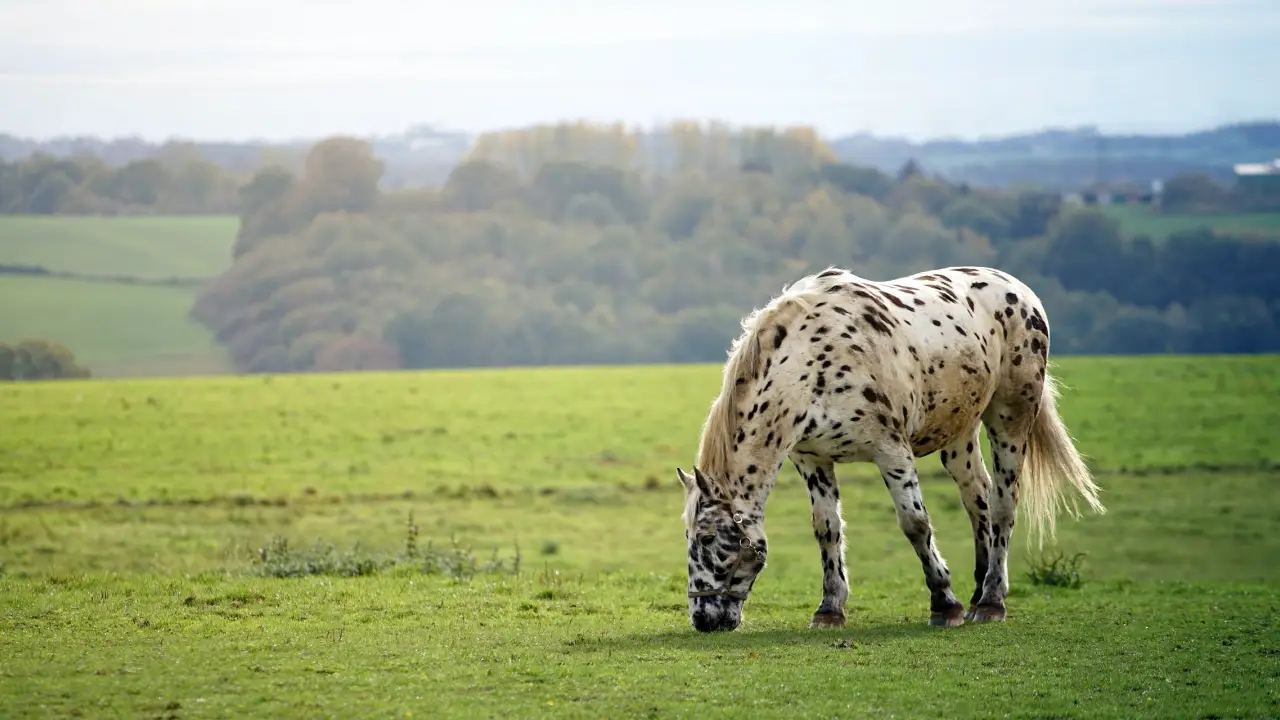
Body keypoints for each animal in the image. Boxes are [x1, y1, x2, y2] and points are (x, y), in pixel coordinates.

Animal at [675, 263, 1105, 627]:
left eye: (707, 538)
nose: (703, 619)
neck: (812, 363)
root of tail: (1021, 291)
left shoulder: (891, 451)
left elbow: (915, 523)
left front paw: (944, 603)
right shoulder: (812, 459)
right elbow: (826, 528)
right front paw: (830, 609)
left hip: (1009, 418)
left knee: (1003, 504)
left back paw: (990, 601)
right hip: (960, 434)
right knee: (977, 499)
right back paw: (978, 587)